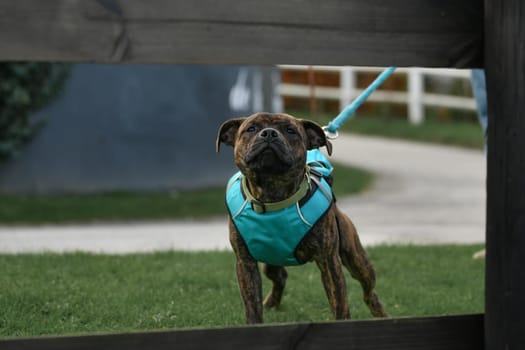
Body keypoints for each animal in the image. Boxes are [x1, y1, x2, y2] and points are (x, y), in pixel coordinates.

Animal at [215, 112, 386, 322]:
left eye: (290, 130)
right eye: (251, 128)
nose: (269, 133)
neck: (272, 195)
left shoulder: (329, 261)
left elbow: (340, 301)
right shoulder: (245, 263)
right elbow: (252, 305)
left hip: (357, 261)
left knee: (369, 290)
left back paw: (380, 312)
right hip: (269, 262)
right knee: (280, 276)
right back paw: (271, 302)